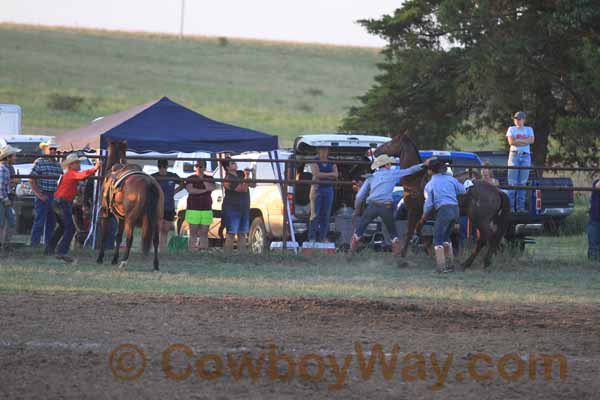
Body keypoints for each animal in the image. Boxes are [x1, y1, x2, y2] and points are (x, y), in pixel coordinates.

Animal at [97, 140, 165, 268]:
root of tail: (149, 183)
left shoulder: (105, 214)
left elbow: (104, 235)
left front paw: (100, 258)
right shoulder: (121, 218)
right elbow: (118, 237)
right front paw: (114, 259)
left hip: (131, 219)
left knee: (129, 238)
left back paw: (124, 261)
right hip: (157, 219)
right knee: (155, 240)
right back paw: (156, 264)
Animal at [376, 134, 510, 268]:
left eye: (391, 143)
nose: (377, 150)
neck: (416, 180)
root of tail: (497, 191)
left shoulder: (418, 211)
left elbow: (413, 230)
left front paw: (413, 253)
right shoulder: (420, 213)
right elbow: (415, 230)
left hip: (479, 219)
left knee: (486, 238)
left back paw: (473, 262)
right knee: (490, 238)